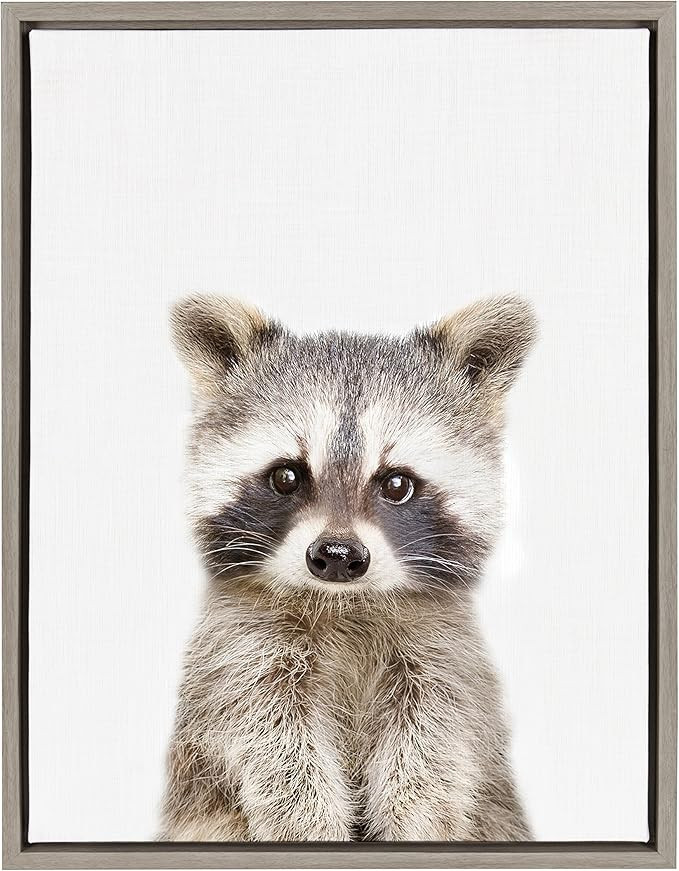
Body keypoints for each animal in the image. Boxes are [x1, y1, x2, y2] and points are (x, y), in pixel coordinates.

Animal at [160, 293, 536, 842]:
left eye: (397, 483)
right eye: (287, 475)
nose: (337, 557)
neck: (344, 604)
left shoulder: (445, 656)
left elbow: (434, 749)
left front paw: (413, 822)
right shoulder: (238, 653)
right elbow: (271, 743)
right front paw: (308, 825)